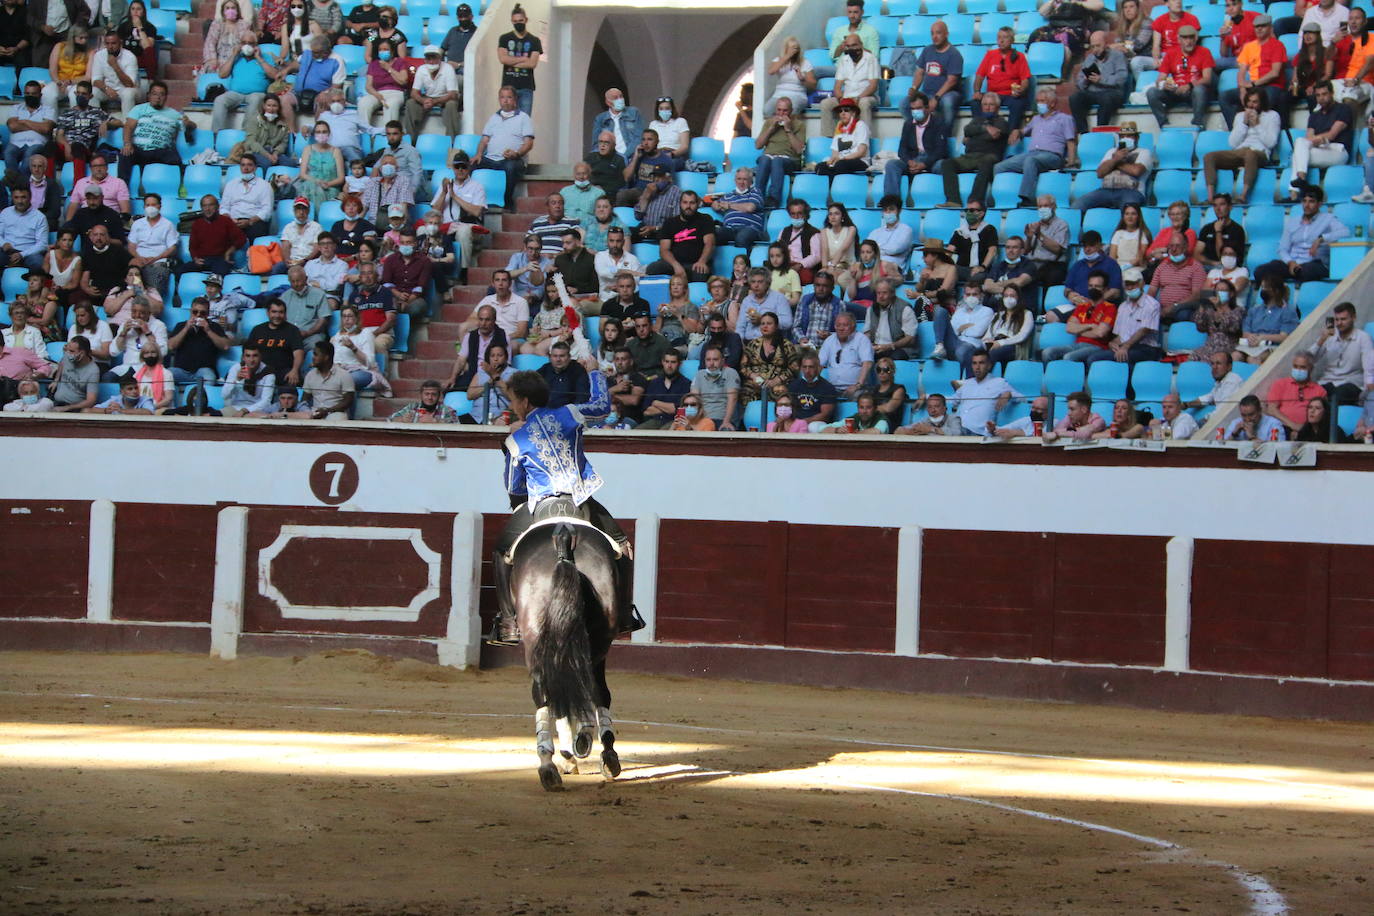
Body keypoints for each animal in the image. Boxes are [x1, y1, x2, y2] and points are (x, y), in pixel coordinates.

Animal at [511, 502, 623, 791]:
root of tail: (563, 536)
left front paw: (567, 754)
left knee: (549, 691)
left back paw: (552, 764)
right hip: (598, 637)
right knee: (590, 687)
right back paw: (593, 749)